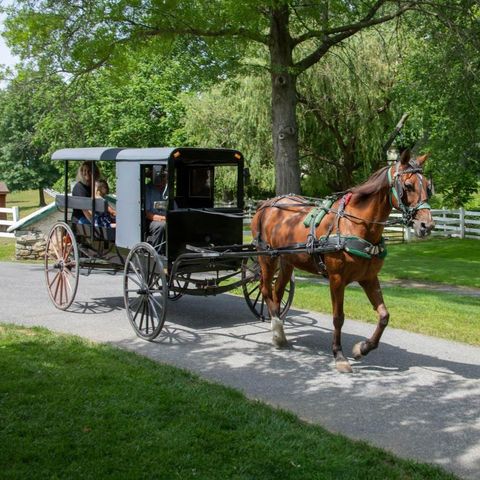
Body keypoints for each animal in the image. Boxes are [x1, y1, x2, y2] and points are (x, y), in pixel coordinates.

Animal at [251, 149, 436, 372]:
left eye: (428, 187)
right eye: (408, 186)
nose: (427, 226)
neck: (355, 225)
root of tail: (266, 204)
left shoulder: (369, 278)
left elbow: (384, 316)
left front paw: (362, 349)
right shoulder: (337, 279)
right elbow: (338, 318)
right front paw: (339, 355)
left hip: (287, 261)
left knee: (277, 292)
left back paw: (278, 329)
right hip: (266, 257)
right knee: (266, 290)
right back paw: (278, 332)